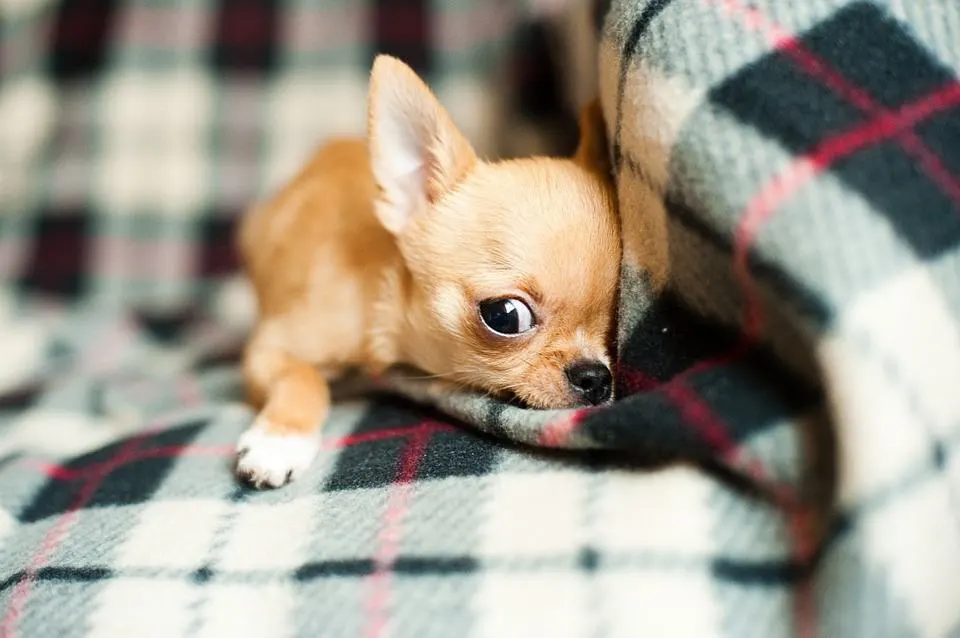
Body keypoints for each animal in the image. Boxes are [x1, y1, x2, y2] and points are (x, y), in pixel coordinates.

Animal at [235, 55, 620, 490]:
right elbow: (303, 376)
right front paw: (280, 439)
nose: (595, 377)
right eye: (505, 316)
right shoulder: (267, 349)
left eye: (615, 318)